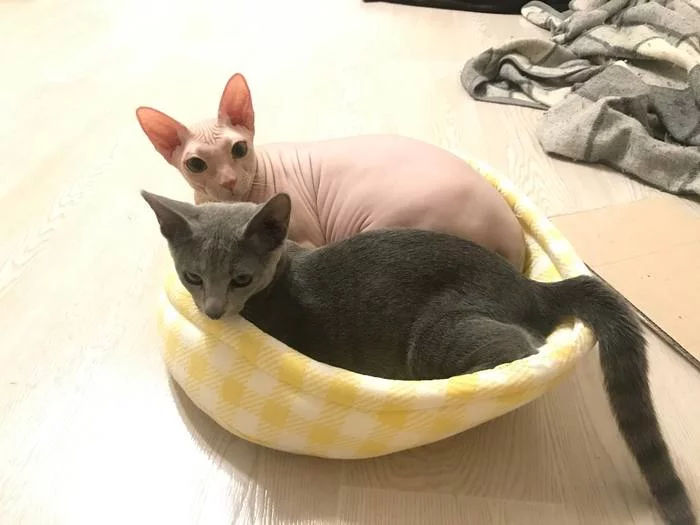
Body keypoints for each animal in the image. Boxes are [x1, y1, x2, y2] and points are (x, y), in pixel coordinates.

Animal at [142, 189, 696, 524]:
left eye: (241, 278)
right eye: (193, 277)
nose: (213, 311)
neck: (280, 279)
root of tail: (531, 287)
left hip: (436, 336)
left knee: (519, 348)